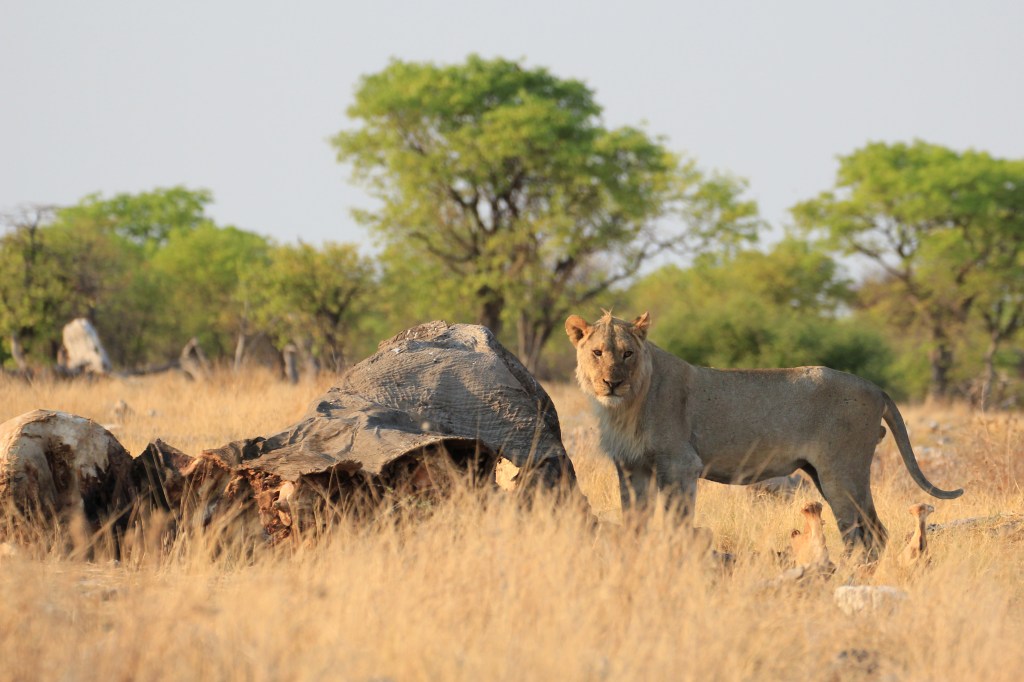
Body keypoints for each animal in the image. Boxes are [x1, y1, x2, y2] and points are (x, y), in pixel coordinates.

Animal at [564, 310, 963, 555]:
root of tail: (875, 387)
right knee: (873, 530)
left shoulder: (680, 464)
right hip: (823, 473)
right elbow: (636, 520)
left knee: (862, 534)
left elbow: (678, 523)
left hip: (841, 471)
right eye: (597, 352)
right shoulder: (631, 466)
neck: (625, 406)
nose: (612, 382)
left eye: (627, 353)